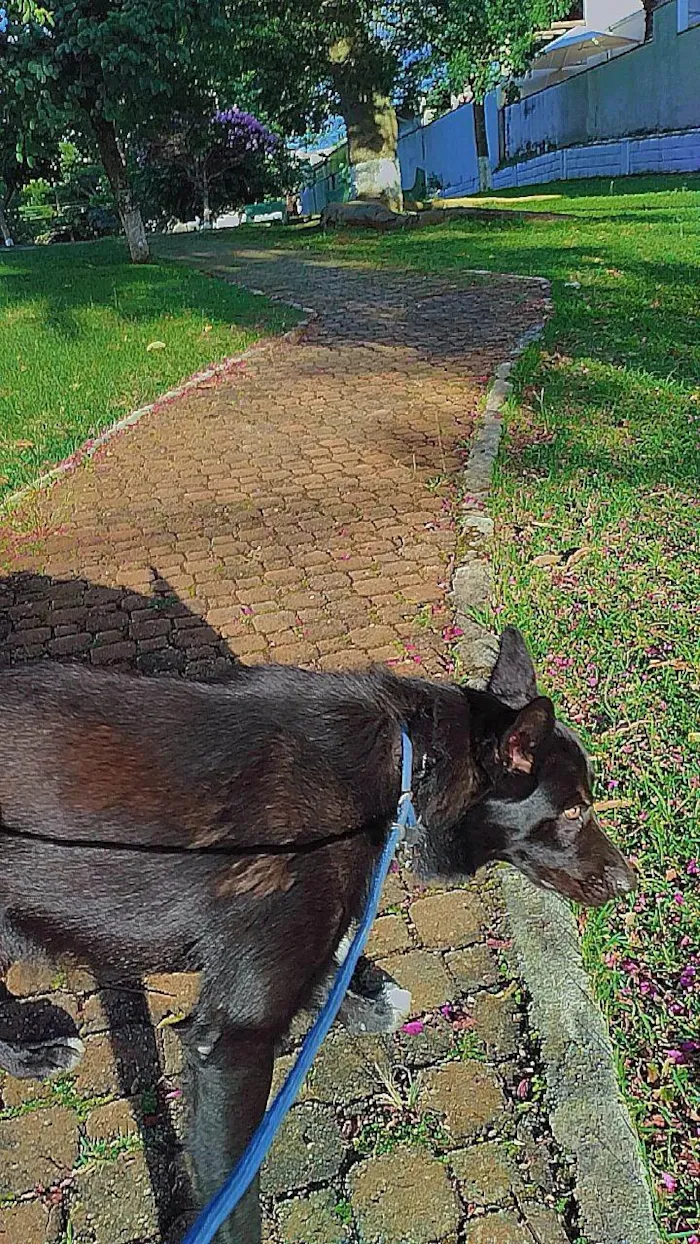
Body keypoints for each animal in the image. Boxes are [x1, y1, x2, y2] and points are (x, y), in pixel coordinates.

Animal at [0, 626, 636, 1239]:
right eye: (574, 811)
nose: (630, 882)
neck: (408, 768)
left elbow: (337, 974)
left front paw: (368, 1000)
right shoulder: (230, 1046)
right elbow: (235, 1212)